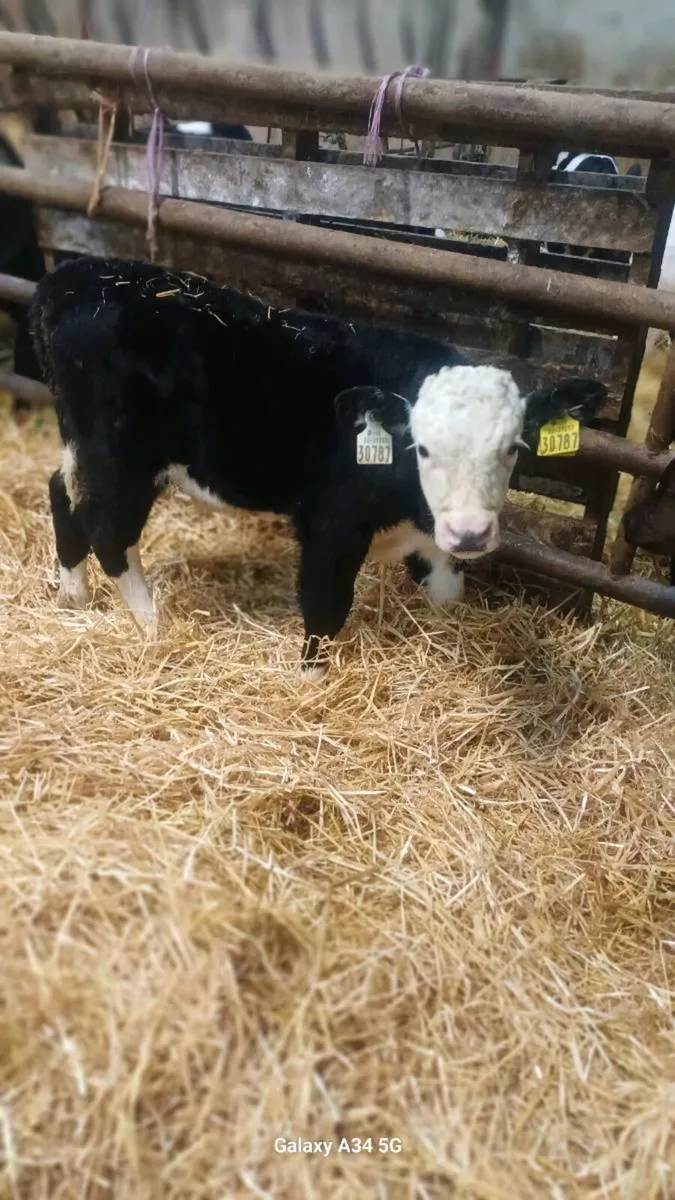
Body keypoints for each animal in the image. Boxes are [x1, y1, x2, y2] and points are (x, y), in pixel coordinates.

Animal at [30, 255, 606, 677]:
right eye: (421, 448)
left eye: (513, 447)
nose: (470, 533)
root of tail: (72, 277)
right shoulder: (331, 524)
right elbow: (325, 605)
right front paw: (311, 682)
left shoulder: (429, 539)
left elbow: (448, 593)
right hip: (122, 455)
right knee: (108, 530)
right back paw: (153, 625)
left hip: (84, 445)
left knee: (62, 494)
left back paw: (73, 595)